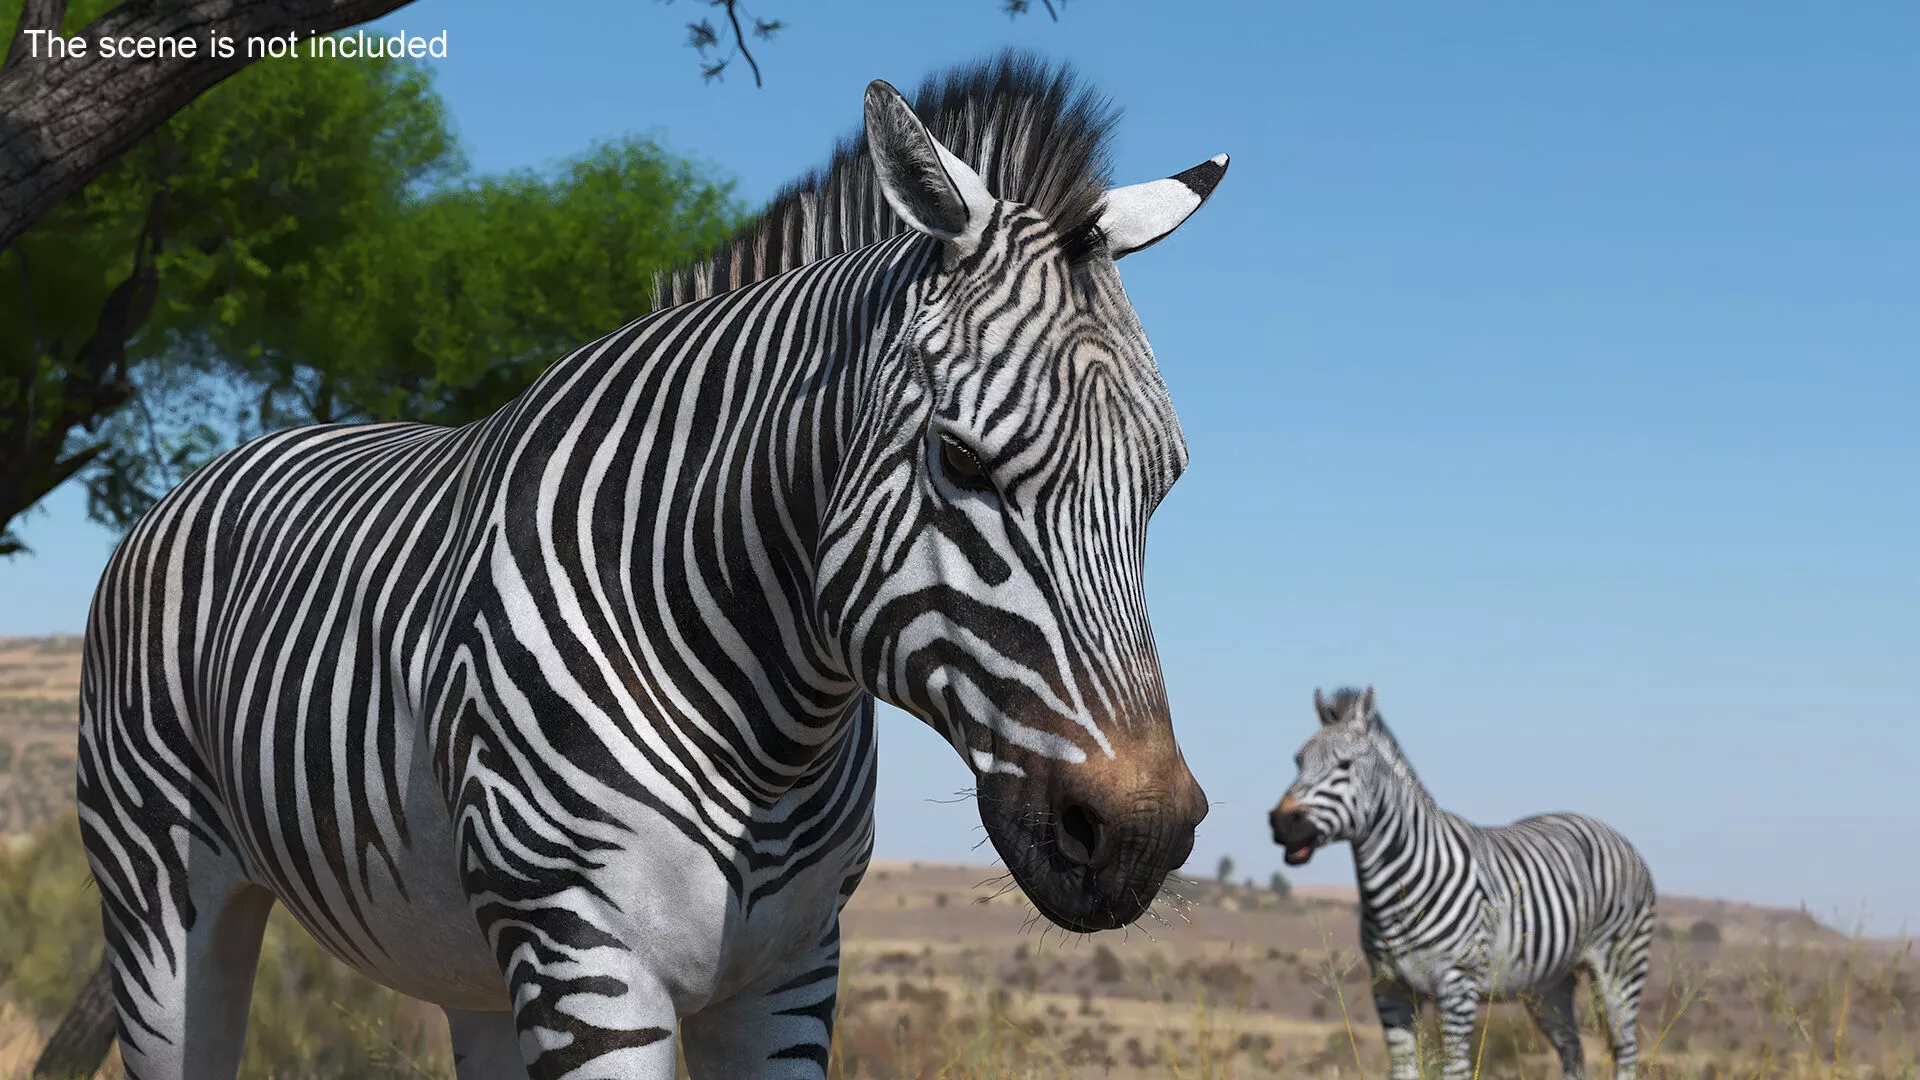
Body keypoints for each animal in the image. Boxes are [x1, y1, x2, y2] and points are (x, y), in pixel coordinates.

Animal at [73, 54, 1225, 1080]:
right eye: (962, 459)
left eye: (1162, 487)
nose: (1140, 836)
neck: (768, 726)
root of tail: (218, 463)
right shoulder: (588, 961)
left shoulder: (790, 975)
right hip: (160, 902)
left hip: (467, 961)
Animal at [1269, 687, 1657, 1080]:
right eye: (1298, 762)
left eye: (1344, 765)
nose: (1280, 822)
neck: (1395, 890)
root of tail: (1609, 829)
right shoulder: (1389, 990)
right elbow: (1403, 1070)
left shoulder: (1456, 988)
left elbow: (1455, 1070)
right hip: (1549, 985)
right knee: (1572, 1049)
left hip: (1621, 967)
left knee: (1625, 1049)